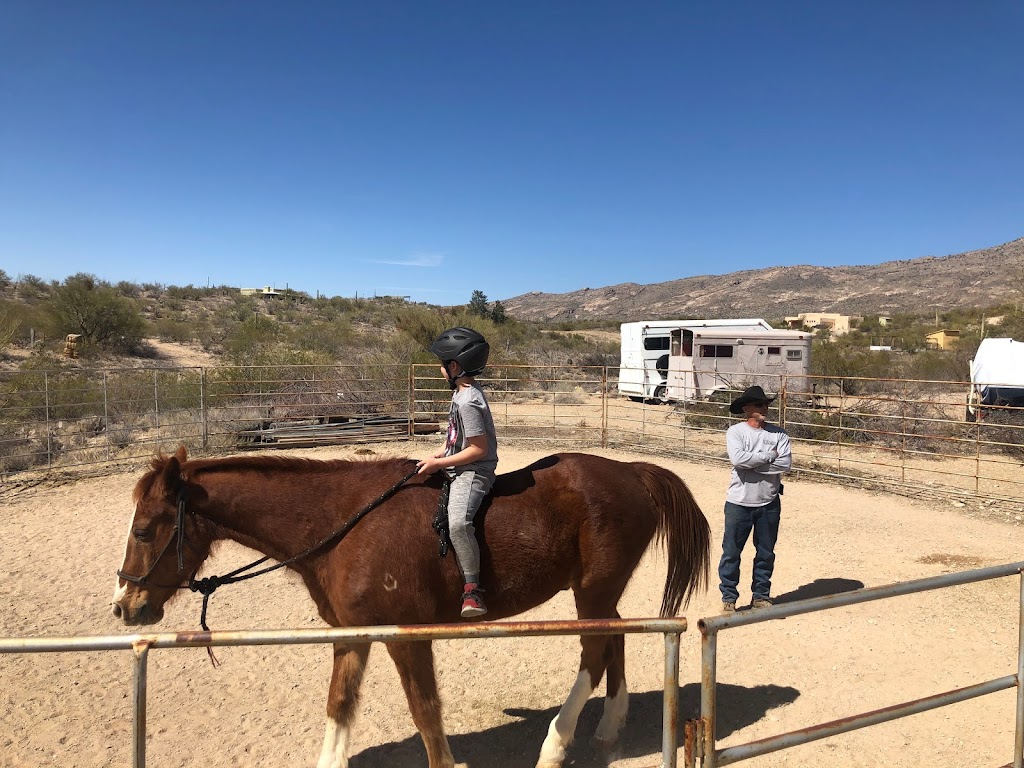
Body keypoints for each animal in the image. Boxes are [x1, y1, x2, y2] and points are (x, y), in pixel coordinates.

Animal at [108, 448, 708, 768]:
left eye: (144, 530)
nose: (125, 606)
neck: (344, 525)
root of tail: (629, 471)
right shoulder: (352, 635)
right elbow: (339, 704)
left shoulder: (406, 636)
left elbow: (425, 712)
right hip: (601, 593)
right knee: (615, 640)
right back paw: (609, 726)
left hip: (592, 591)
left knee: (593, 652)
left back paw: (556, 744)